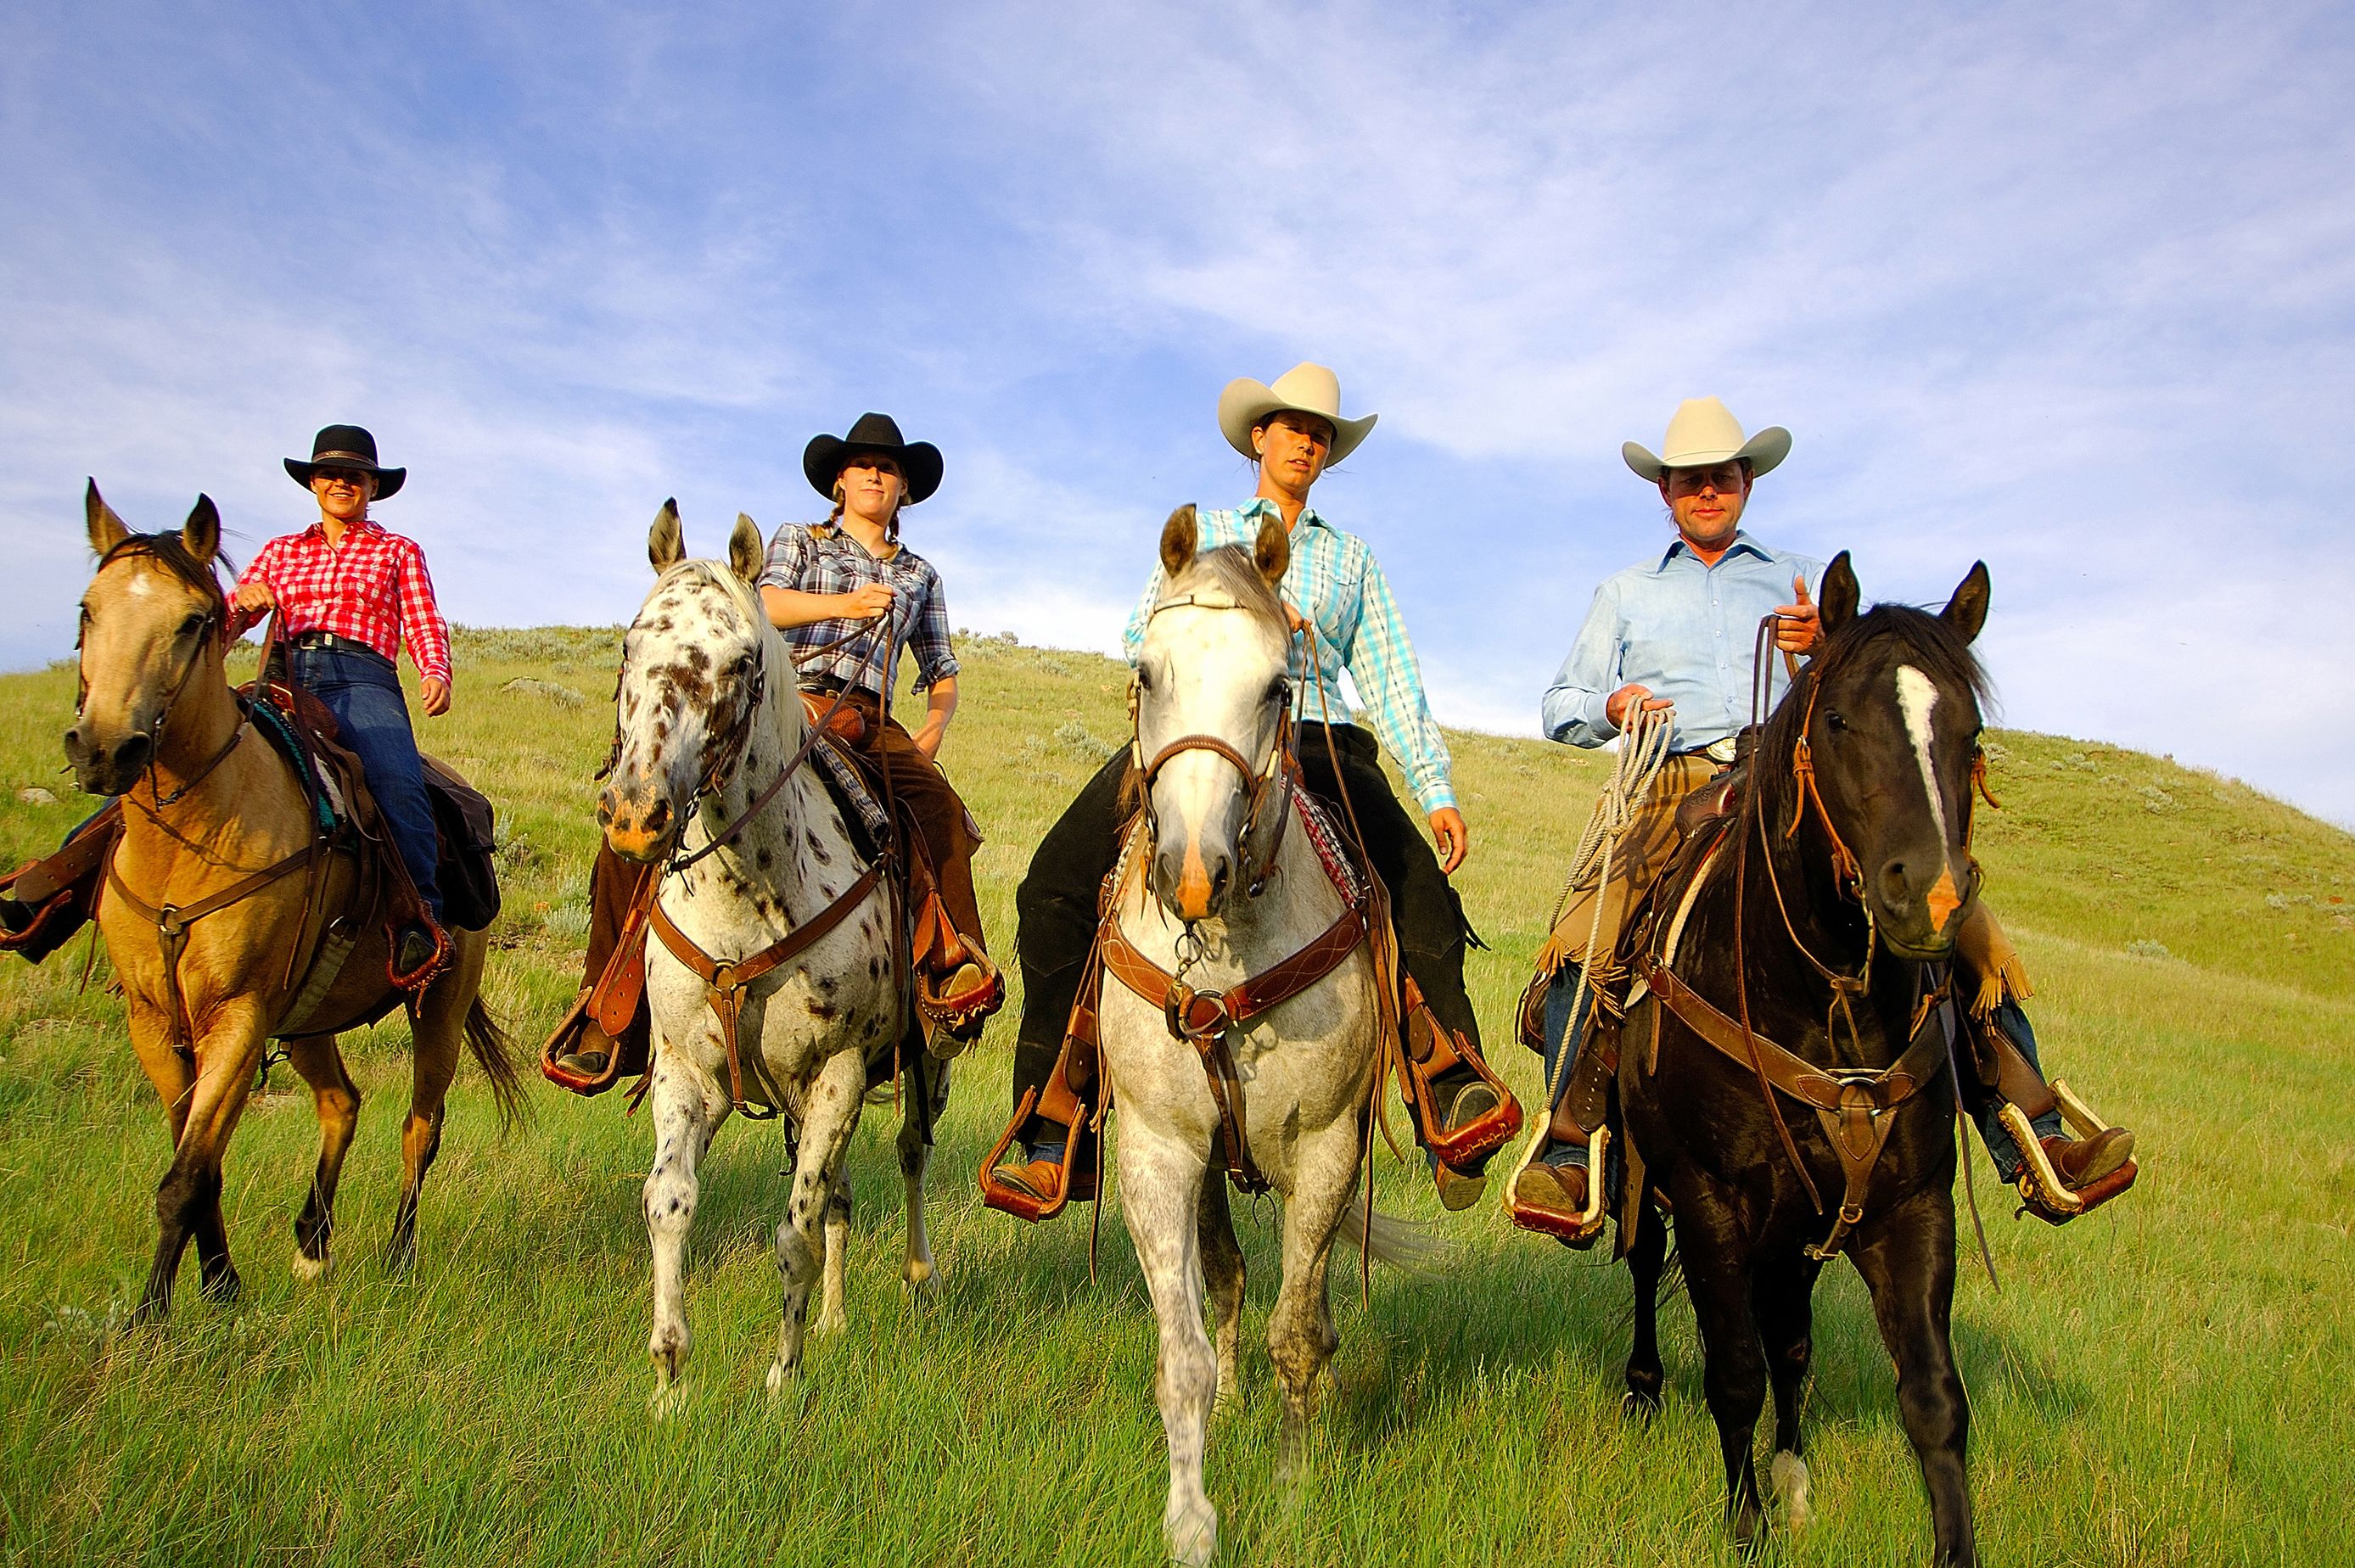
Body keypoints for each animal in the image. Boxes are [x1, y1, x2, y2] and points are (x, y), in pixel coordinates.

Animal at [65, 482, 520, 1308]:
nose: (106, 749)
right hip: (309, 1016)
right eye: (89, 609)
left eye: (194, 619)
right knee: (341, 1102)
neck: (188, 841)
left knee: (420, 1126)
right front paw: (219, 1286)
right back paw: (312, 1243)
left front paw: (152, 1315)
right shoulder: (155, 1022)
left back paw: (398, 1255)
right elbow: (199, 1164)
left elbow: (184, 1178)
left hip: (437, 1003)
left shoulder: (238, 1015)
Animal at [593, 506, 942, 1393]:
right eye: (629, 644)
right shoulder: (689, 1071)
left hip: (919, 1064)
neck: (744, 896)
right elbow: (669, 1202)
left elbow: (795, 1231)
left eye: (743, 660)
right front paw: (669, 1378)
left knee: (907, 1156)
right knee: (844, 1196)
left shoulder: (841, 1070)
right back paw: (835, 1319)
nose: (637, 815)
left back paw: (918, 1278)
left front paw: (782, 1380)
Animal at [1102, 503, 1432, 1563]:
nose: (1192, 872)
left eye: (1277, 685)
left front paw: (1291, 1494)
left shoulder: (1327, 1149)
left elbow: (1302, 1333)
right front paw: (1192, 1522)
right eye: (1148, 672)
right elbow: (1185, 1356)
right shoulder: (1159, 1153)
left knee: (1301, 1305)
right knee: (1229, 1281)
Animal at [1620, 555, 2006, 1554]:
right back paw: (1642, 1393)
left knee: (1789, 1338)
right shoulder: (1710, 1202)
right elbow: (1733, 1375)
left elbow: (1933, 1398)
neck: (1823, 1002)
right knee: (1644, 1270)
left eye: (1971, 734)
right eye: (1837, 721)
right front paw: (1744, 1526)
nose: (1929, 897)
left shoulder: (1910, 1207)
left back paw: (1792, 1472)